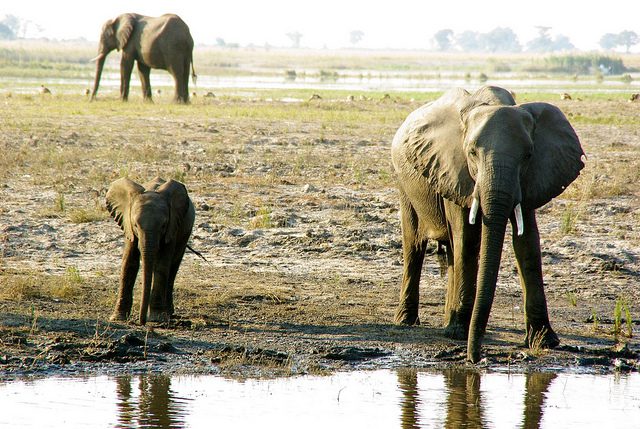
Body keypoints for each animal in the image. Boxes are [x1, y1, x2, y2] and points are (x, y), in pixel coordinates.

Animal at [106, 176, 195, 322]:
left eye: (163, 225)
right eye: (135, 225)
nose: (141, 322)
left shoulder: (172, 227)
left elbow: (162, 266)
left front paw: (157, 318)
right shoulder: (128, 227)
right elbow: (129, 263)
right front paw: (118, 318)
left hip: (184, 233)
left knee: (173, 268)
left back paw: (168, 313)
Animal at [390, 86, 584, 362]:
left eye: (529, 155)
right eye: (472, 152)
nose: (475, 358)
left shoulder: (530, 178)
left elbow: (527, 244)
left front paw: (545, 341)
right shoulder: (452, 170)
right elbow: (468, 240)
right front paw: (459, 333)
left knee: (450, 253)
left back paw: (447, 320)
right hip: (404, 183)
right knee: (415, 246)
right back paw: (408, 321)